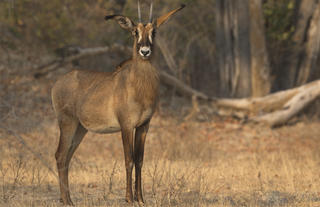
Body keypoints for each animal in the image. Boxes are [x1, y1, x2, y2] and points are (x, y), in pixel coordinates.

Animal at [51, 1, 184, 205]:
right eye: (135, 31)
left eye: (154, 32)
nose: (145, 51)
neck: (139, 86)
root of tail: (57, 83)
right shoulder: (126, 126)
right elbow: (128, 159)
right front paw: (129, 198)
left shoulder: (144, 125)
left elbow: (139, 160)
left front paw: (141, 199)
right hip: (68, 123)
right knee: (60, 155)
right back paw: (67, 201)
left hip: (80, 129)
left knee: (67, 157)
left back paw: (66, 199)